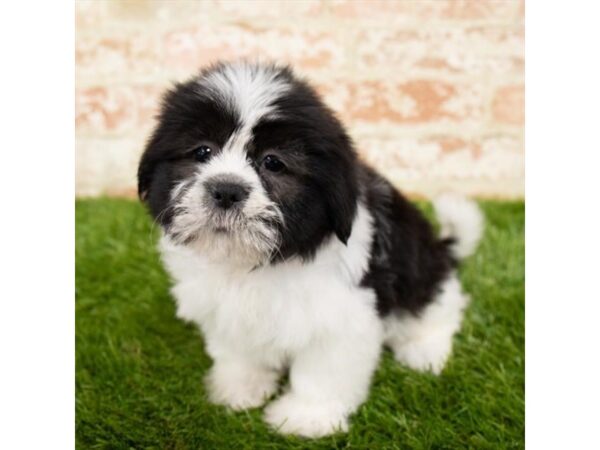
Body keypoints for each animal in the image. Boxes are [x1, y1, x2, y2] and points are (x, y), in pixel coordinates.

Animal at [137, 61, 482, 438]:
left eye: (273, 162)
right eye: (202, 151)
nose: (226, 190)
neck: (254, 263)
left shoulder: (343, 313)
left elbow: (323, 371)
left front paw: (305, 417)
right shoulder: (227, 309)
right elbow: (239, 350)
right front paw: (239, 388)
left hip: (423, 273)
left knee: (437, 308)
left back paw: (424, 350)